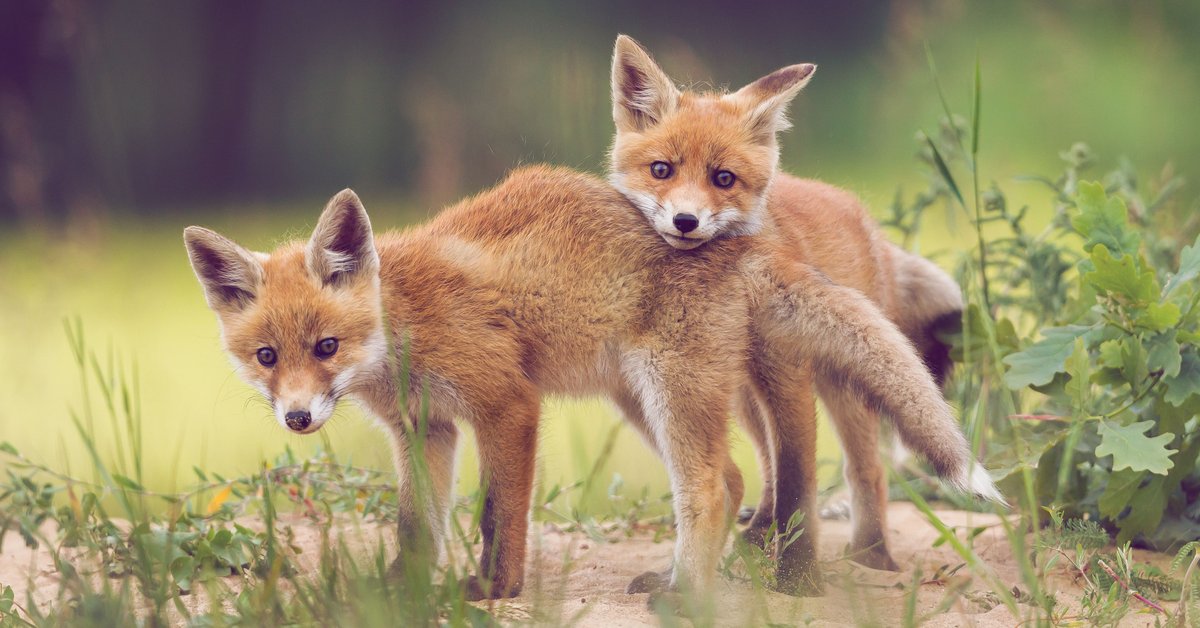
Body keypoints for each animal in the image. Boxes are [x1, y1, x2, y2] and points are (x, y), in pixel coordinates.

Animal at [608, 34, 975, 580]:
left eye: (723, 178)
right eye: (661, 170)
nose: (685, 221)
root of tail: (862, 216)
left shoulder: (788, 373)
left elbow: (798, 477)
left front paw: (795, 573)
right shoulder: (747, 379)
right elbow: (777, 472)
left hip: (844, 381)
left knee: (866, 470)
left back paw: (872, 556)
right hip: (745, 391)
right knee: (767, 463)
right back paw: (760, 533)